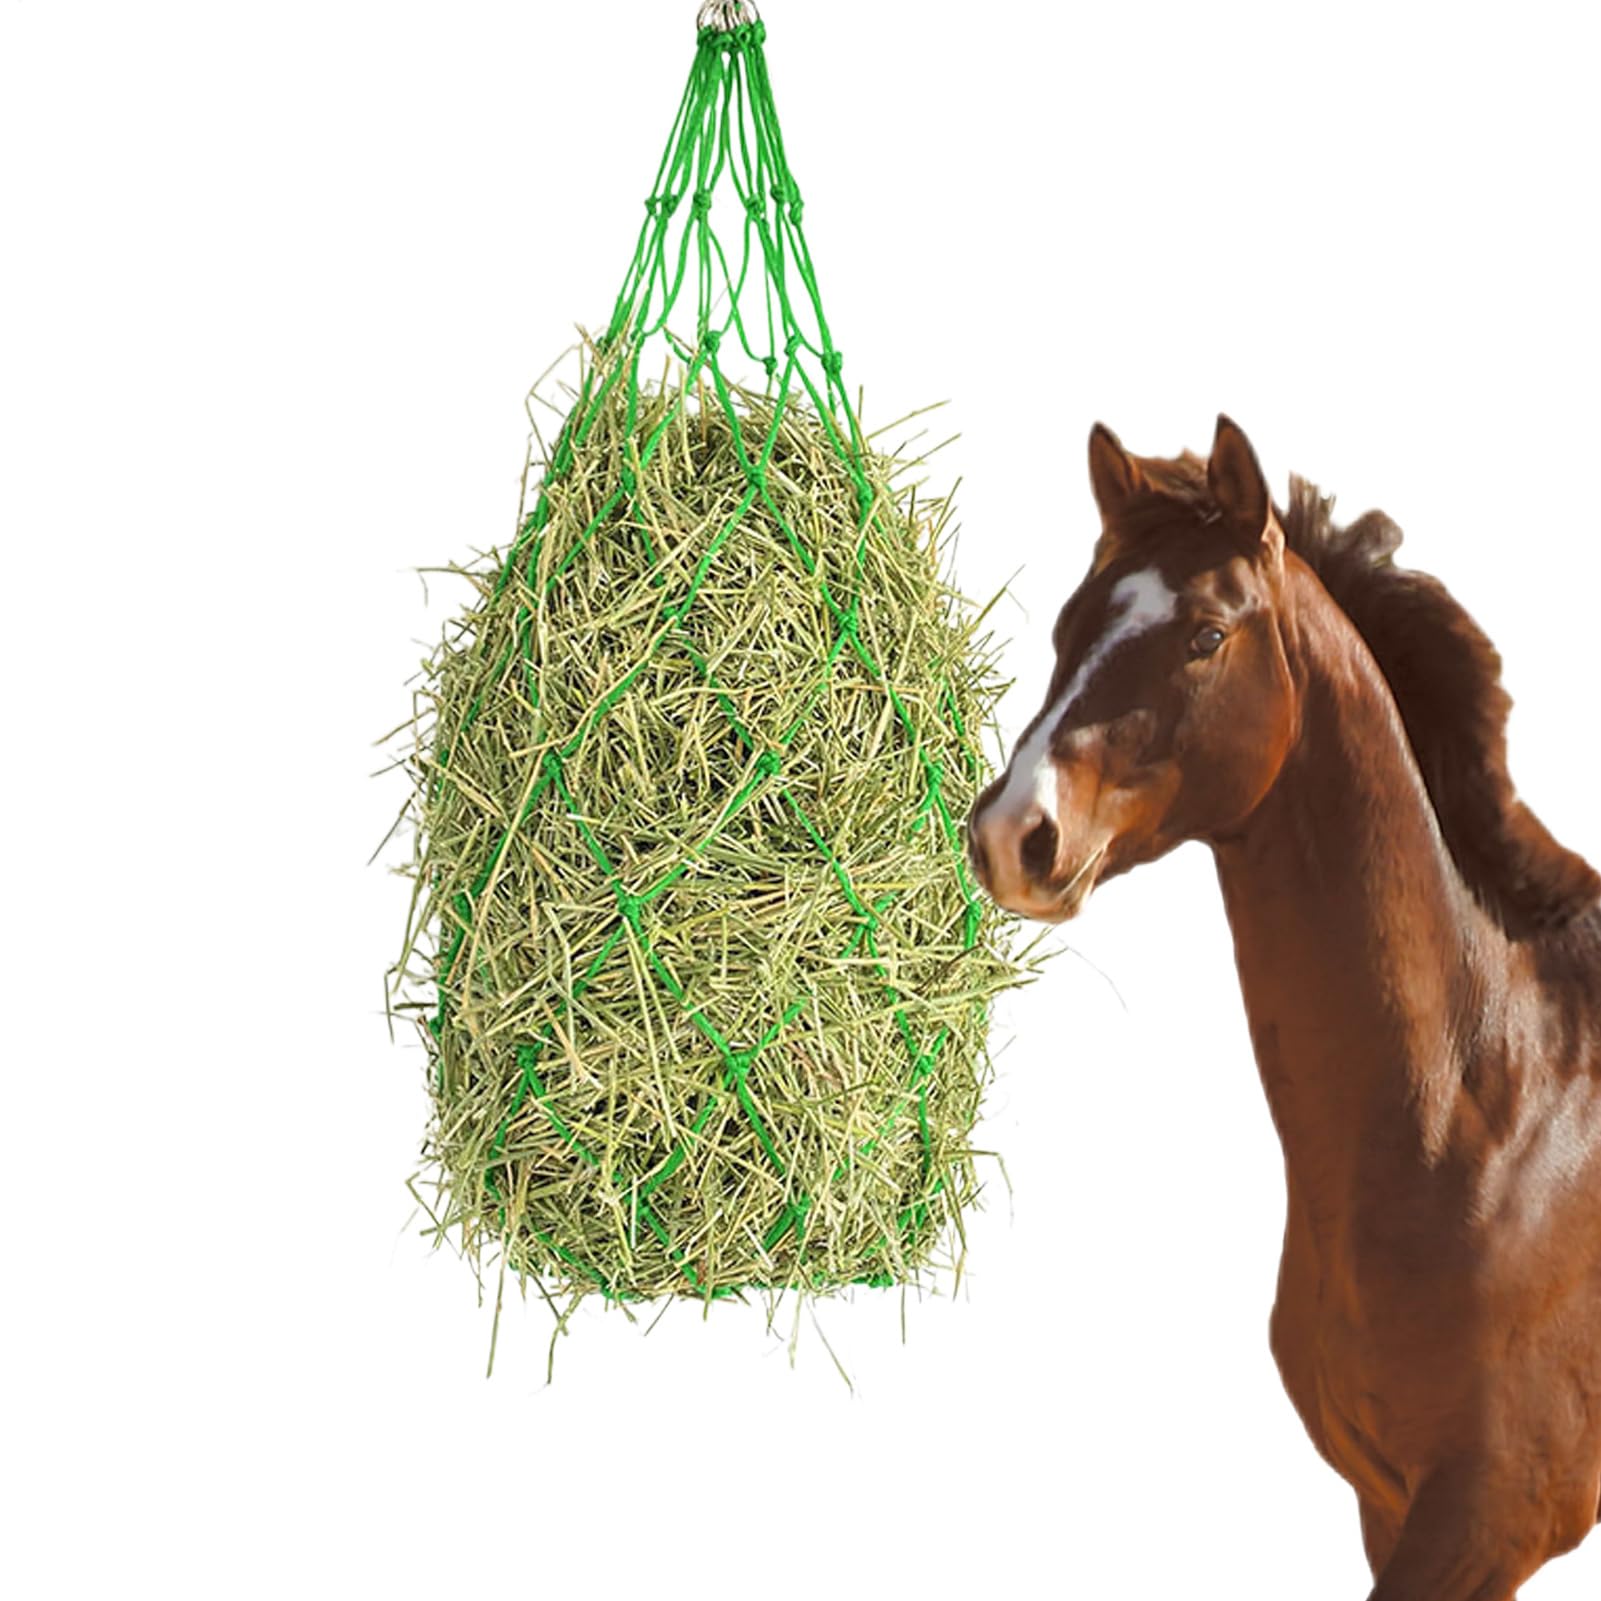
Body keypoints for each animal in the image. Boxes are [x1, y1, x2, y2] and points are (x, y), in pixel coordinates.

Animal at [966, 416, 1601, 1599]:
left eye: (1205, 635)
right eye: (1070, 624)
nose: (1013, 833)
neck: (1492, 1122)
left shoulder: (1487, 1520)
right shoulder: (1386, 1506)